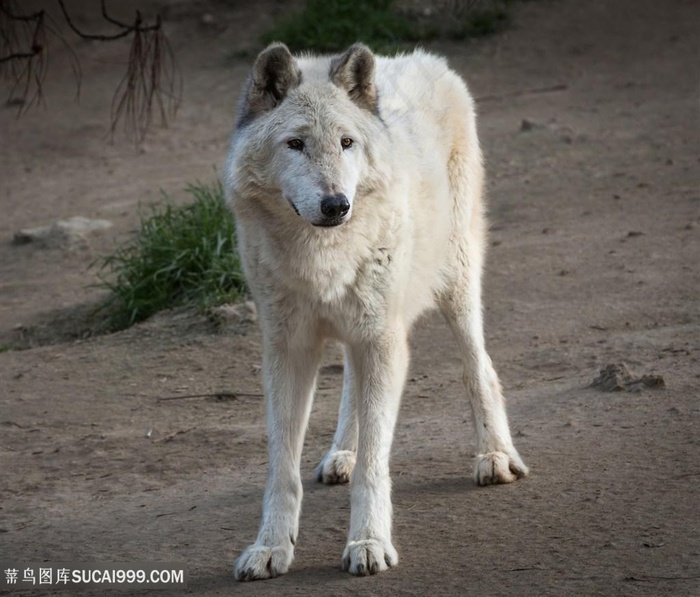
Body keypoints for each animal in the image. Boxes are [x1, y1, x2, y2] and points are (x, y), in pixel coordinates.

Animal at [227, 40, 528, 576]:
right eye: (295, 144)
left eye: (347, 143)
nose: (336, 205)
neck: (322, 256)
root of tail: (417, 56)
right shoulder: (288, 350)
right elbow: (282, 469)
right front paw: (270, 547)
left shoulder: (383, 340)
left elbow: (376, 462)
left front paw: (368, 542)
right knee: (351, 379)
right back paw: (341, 453)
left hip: (456, 283)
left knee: (479, 368)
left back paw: (495, 455)